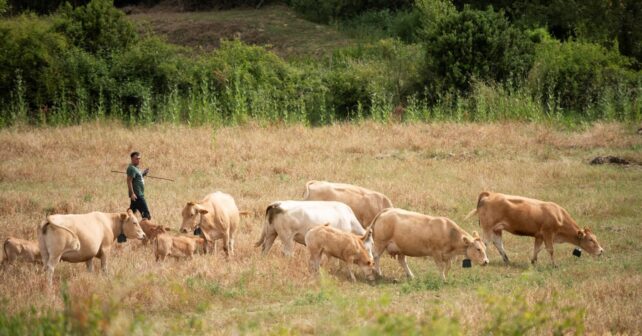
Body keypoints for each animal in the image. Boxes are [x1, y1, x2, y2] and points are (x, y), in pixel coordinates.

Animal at [462, 192, 604, 266]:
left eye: (595, 238)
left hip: (497, 229)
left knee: (498, 244)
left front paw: (533, 261)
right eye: (591, 240)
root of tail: (490, 194)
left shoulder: (539, 236)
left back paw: (507, 260)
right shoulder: (548, 233)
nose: (601, 250)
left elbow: (537, 248)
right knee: (484, 243)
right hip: (488, 228)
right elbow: (550, 249)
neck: (558, 215)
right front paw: (554, 265)